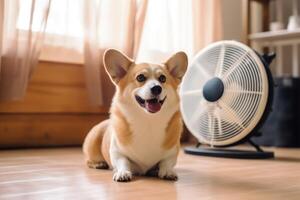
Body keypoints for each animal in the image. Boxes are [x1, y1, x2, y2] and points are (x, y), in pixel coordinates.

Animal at [82, 49, 188, 182]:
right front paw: (122, 173)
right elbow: (123, 162)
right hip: (93, 143)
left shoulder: (172, 153)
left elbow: (167, 163)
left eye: (162, 78)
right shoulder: (117, 152)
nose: (157, 88)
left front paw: (167, 171)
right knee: (88, 160)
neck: (148, 121)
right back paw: (99, 164)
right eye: (140, 77)